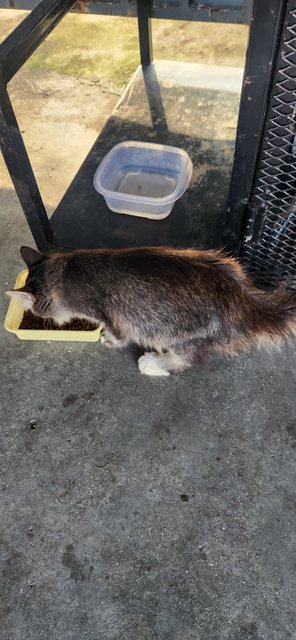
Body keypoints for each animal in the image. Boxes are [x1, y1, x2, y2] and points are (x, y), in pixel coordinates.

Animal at [6, 244, 296, 376]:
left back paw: (154, 362)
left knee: (188, 359)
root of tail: (243, 297)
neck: (66, 273)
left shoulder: (114, 314)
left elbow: (118, 334)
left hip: (182, 333)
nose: (40, 317)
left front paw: (108, 340)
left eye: (38, 312)